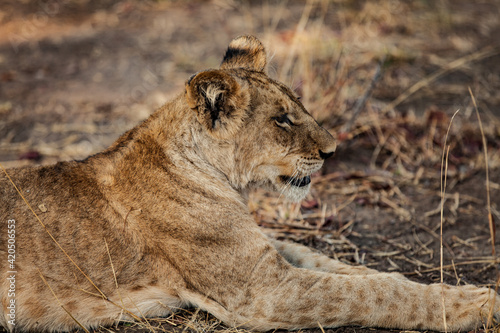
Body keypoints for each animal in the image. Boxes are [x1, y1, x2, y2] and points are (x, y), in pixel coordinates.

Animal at [0, 35, 500, 330]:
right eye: (281, 119)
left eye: (298, 106)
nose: (333, 150)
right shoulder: (261, 292)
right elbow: (370, 293)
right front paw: (474, 304)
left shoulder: (263, 254)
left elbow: (350, 271)